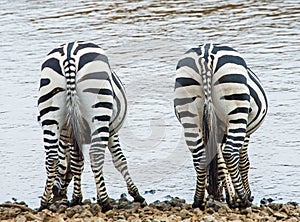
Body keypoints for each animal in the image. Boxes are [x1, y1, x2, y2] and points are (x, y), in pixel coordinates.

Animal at [38, 40, 146, 212]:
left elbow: (77, 163)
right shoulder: (111, 130)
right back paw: (105, 202)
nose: (56, 192)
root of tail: (69, 53)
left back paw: (44, 203)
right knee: (96, 154)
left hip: (50, 111)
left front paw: (77, 198)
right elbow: (119, 159)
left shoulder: (72, 135)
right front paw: (136, 194)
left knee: (51, 158)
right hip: (99, 110)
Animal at [173, 43, 268, 210]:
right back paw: (243, 199)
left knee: (200, 155)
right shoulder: (246, 131)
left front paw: (228, 195)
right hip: (236, 106)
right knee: (230, 153)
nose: (213, 193)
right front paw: (242, 194)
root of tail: (206, 53)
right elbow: (243, 162)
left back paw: (198, 200)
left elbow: (219, 162)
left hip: (189, 111)